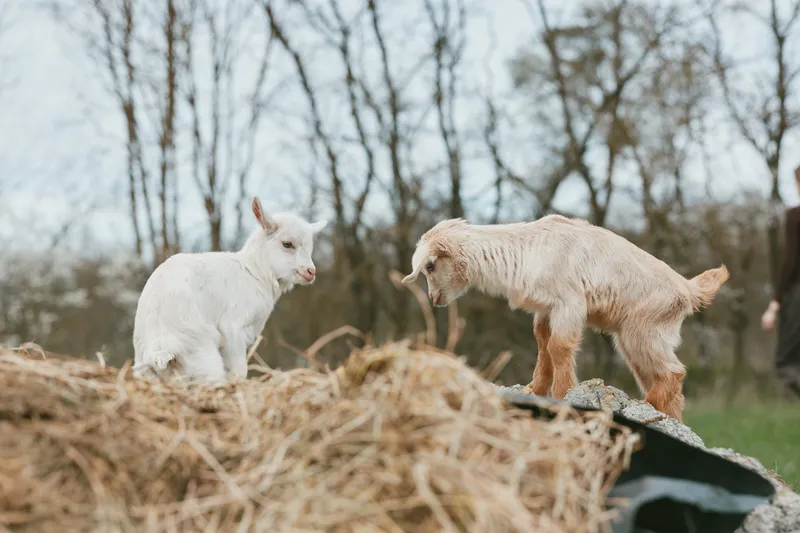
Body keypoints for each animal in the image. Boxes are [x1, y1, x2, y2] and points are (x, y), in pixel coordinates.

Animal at [132, 197, 327, 384]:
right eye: (287, 244)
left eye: (310, 247)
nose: (310, 272)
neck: (255, 271)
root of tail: (159, 346)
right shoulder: (234, 328)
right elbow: (238, 371)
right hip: (201, 355)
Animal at [401, 215, 729, 422]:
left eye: (429, 265)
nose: (434, 299)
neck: (525, 250)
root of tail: (689, 290)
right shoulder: (545, 308)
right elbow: (542, 344)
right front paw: (535, 390)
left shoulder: (569, 303)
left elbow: (559, 346)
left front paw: (563, 393)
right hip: (636, 339)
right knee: (666, 380)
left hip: (643, 331)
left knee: (674, 372)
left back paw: (643, 407)